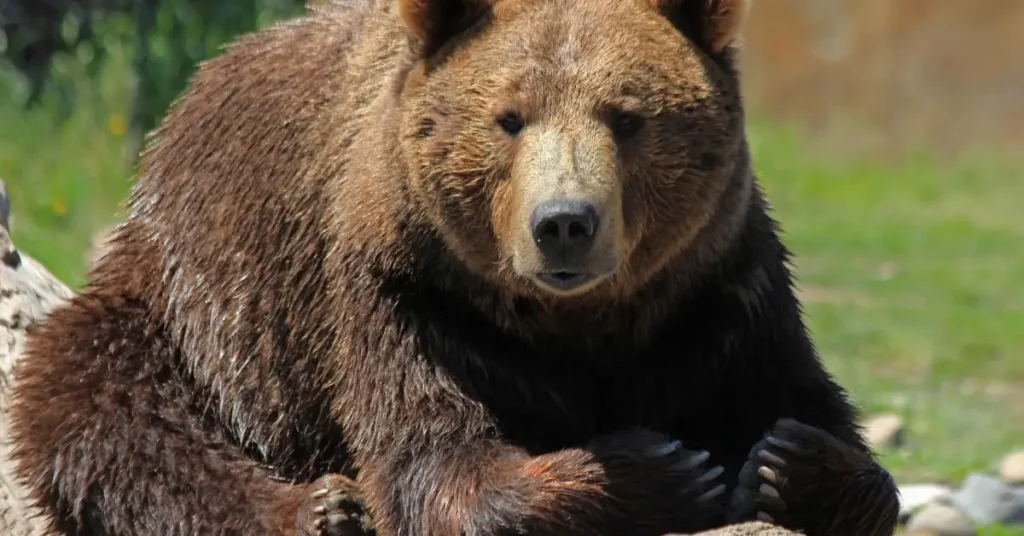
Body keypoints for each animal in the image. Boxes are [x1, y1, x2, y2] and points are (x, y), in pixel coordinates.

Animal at [7, 0, 900, 535]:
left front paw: (789, 460)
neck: (579, 324)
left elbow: (804, 405)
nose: (563, 224)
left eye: (627, 117)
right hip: (195, 303)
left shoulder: (718, 289)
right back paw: (321, 506)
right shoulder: (408, 293)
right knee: (106, 406)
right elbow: (437, 460)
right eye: (509, 118)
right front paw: (659, 469)